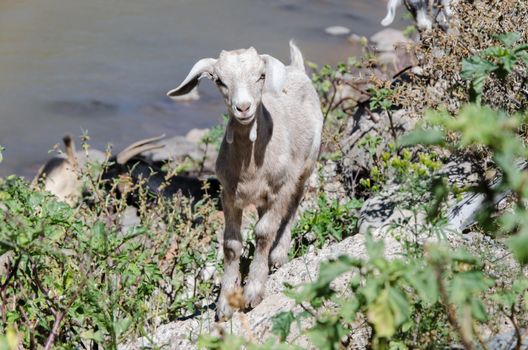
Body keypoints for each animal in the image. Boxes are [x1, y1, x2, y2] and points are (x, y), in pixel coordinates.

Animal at [167, 41, 324, 320]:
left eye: (261, 76)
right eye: (219, 80)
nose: (243, 108)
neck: (250, 165)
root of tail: (296, 67)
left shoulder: (279, 188)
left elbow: (263, 232)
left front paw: (253, 292)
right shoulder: (229, 194)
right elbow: (231, 244)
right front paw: (225, 303)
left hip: (305, 167)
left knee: (293, 208)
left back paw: (278, 255)